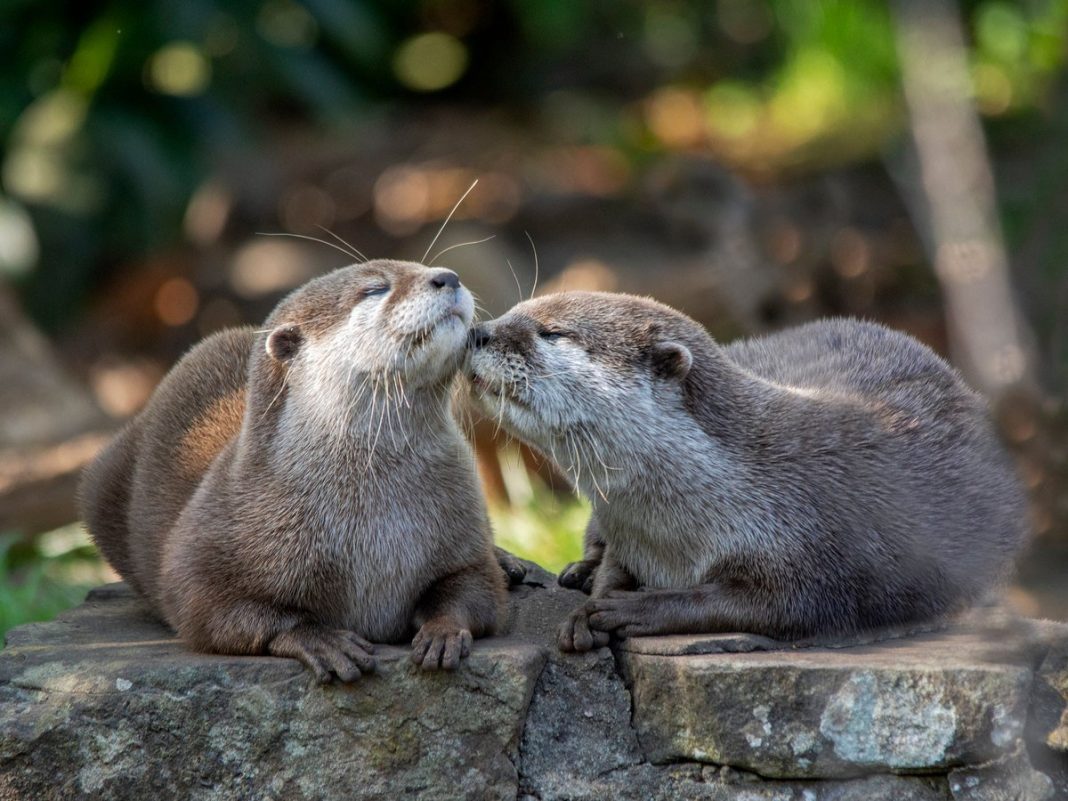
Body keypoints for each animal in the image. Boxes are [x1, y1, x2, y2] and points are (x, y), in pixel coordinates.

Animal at [77, 260, 510, 679]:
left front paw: (443, 631)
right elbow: (201, 607)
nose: (448, 276)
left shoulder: (462, 521)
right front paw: (319, 639)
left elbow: (477, 586)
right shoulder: (210, 538)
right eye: (374, 288)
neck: (370, 517)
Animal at [465, 292, 1025, 653]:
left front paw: (631, 610)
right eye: (517, 310)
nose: (479, 332)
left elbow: (775, 606)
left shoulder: (820, 548)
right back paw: (579, 570)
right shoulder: (630, 536)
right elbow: (614, 570)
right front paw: (592, 602)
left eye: (552, 332)